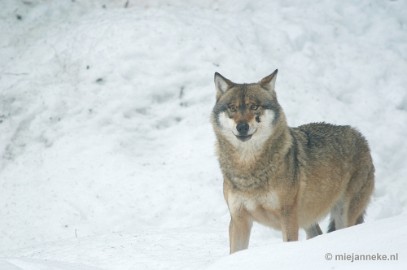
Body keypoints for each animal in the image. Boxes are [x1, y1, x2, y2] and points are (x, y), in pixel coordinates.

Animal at [212, 69, 374, 253]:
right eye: (232, 108)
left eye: (254, 107)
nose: (242, 127)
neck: (248, 166)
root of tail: (360, 136)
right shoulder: (239, 220)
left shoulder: (288, 216)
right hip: (307, 220)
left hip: (343, 215)